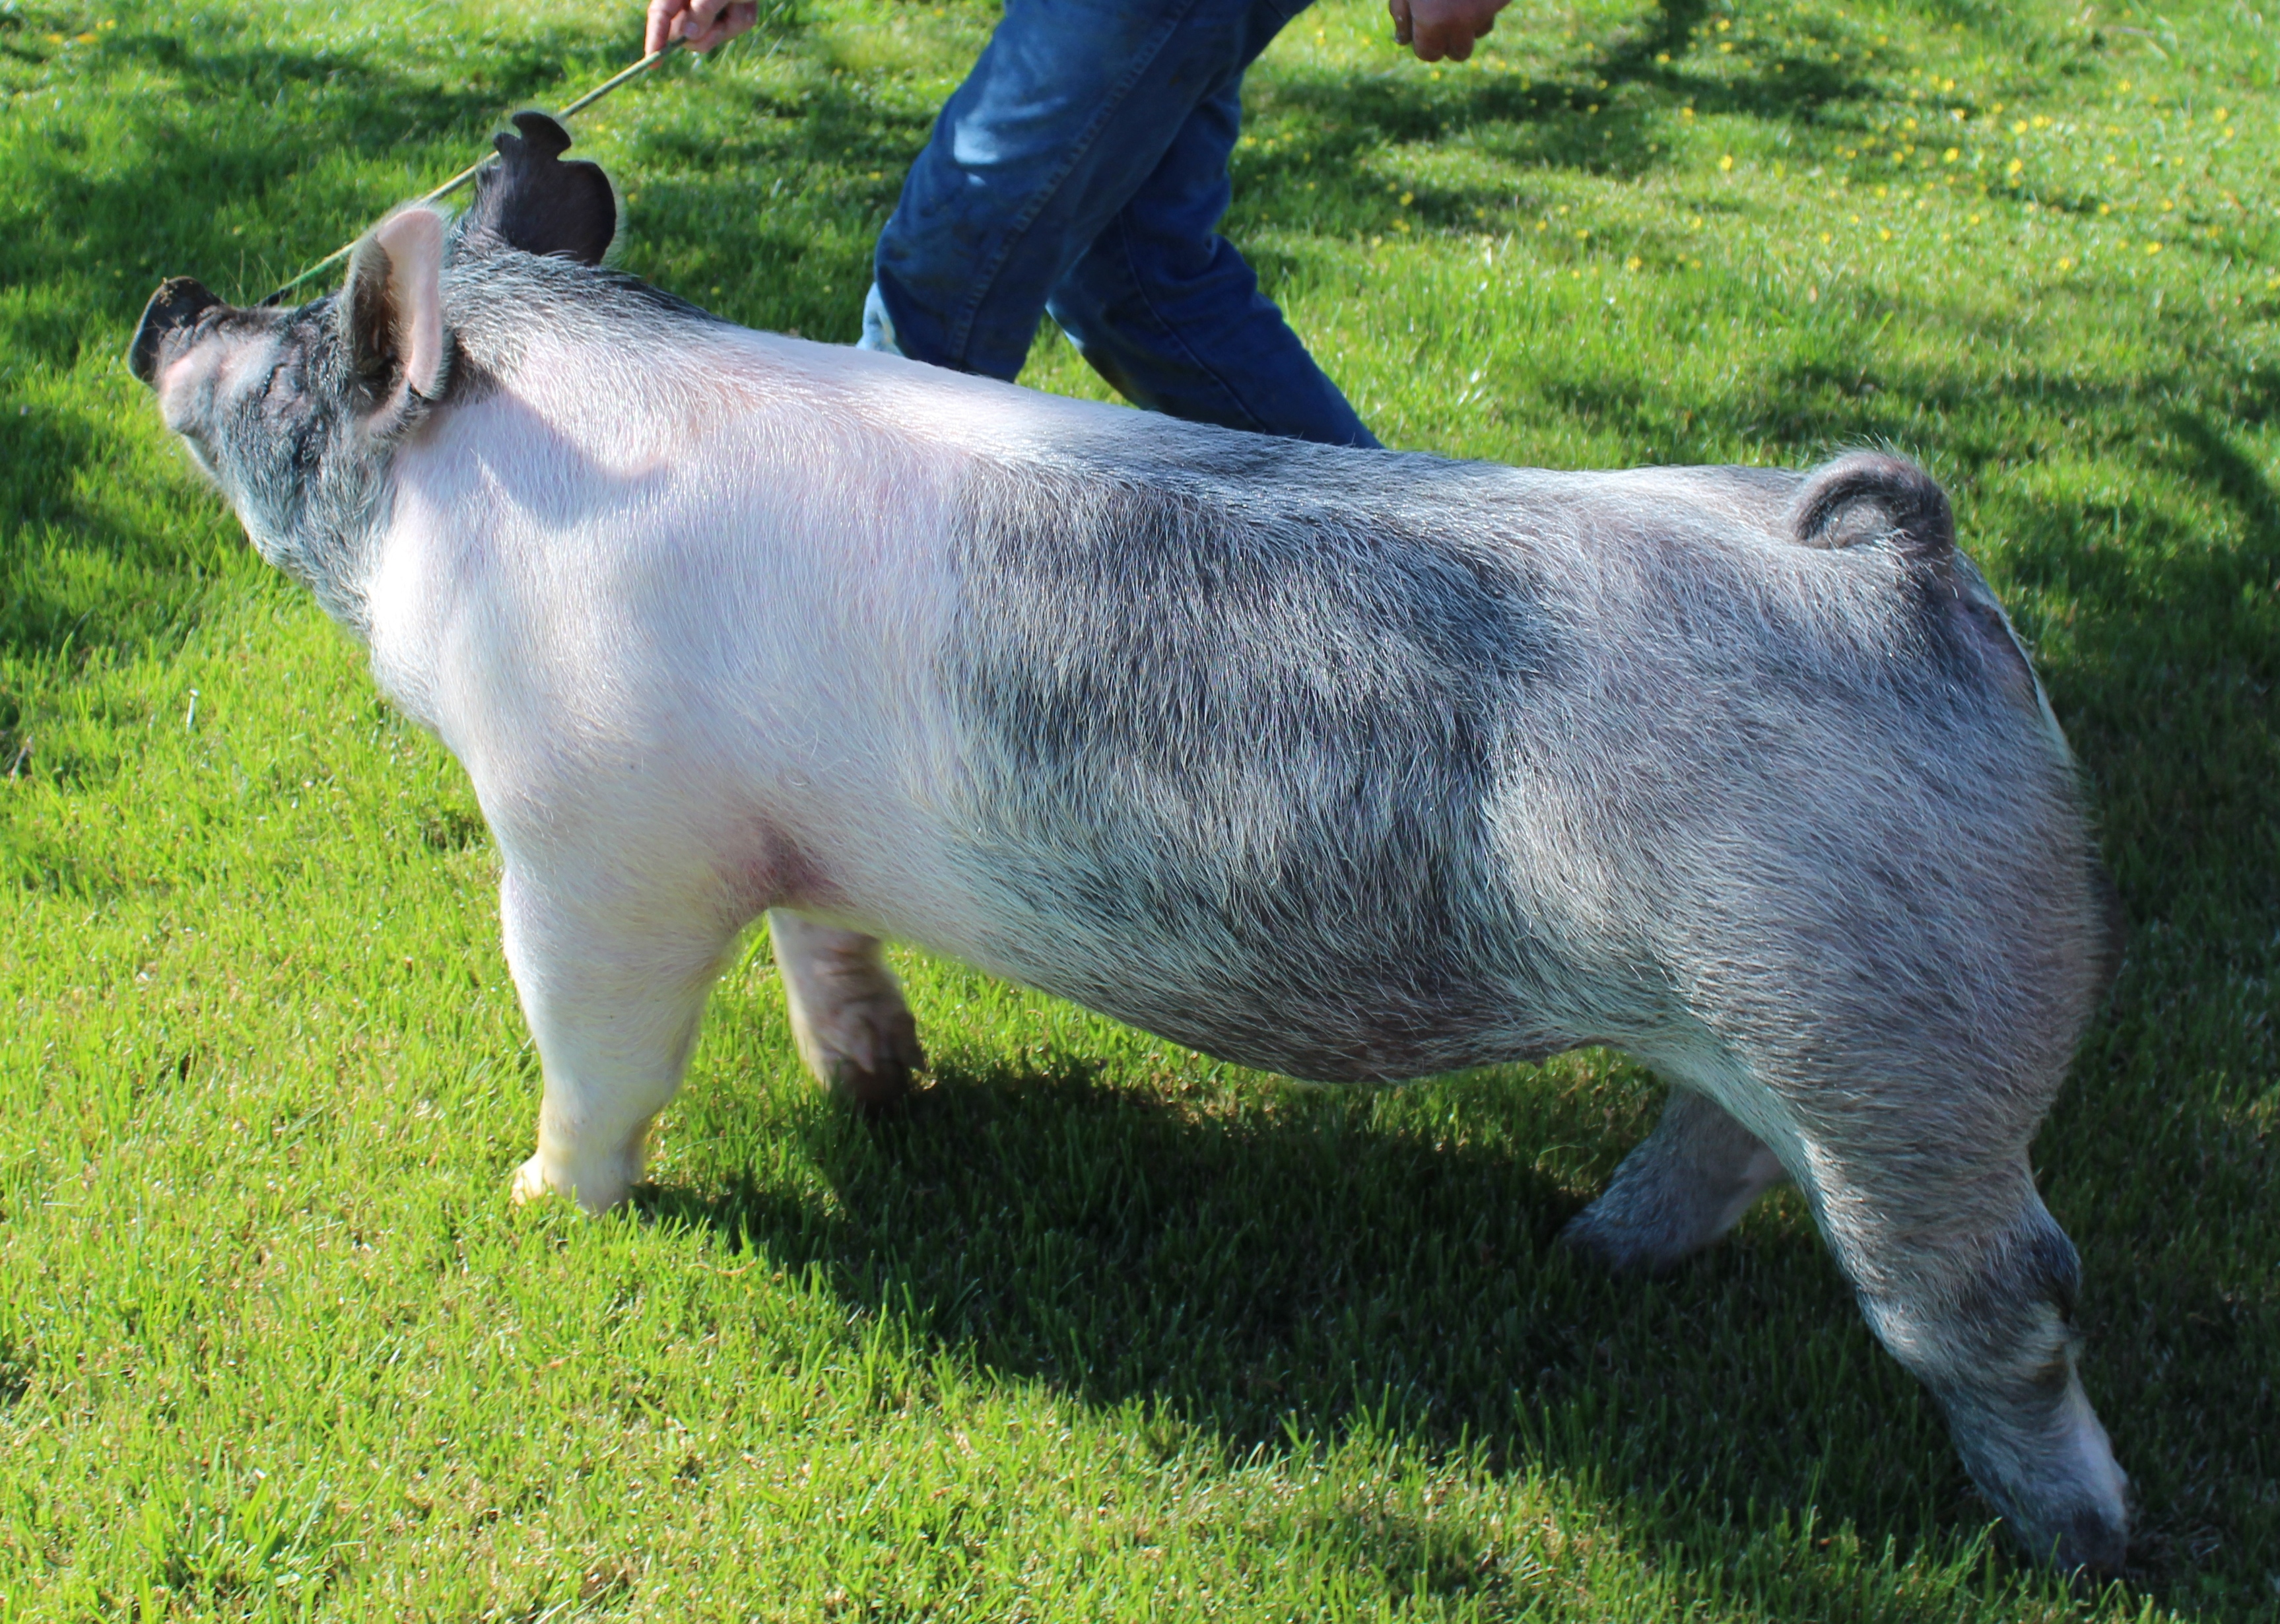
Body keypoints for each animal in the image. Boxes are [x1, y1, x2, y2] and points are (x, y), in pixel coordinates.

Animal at [130, 113, 2128, 1570]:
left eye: (296, 358)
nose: (166, 293)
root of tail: (1895, 566)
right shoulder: (769, 841)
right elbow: (821, 944)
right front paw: (877, 1084)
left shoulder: (587, 834)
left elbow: (594, 1043)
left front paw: (544, 1198)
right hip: (1777, 1032)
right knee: (1714, 1150)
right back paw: (1588, 1250)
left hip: (1896, 1055)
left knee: (2009, 1298)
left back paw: (2078, 1546)